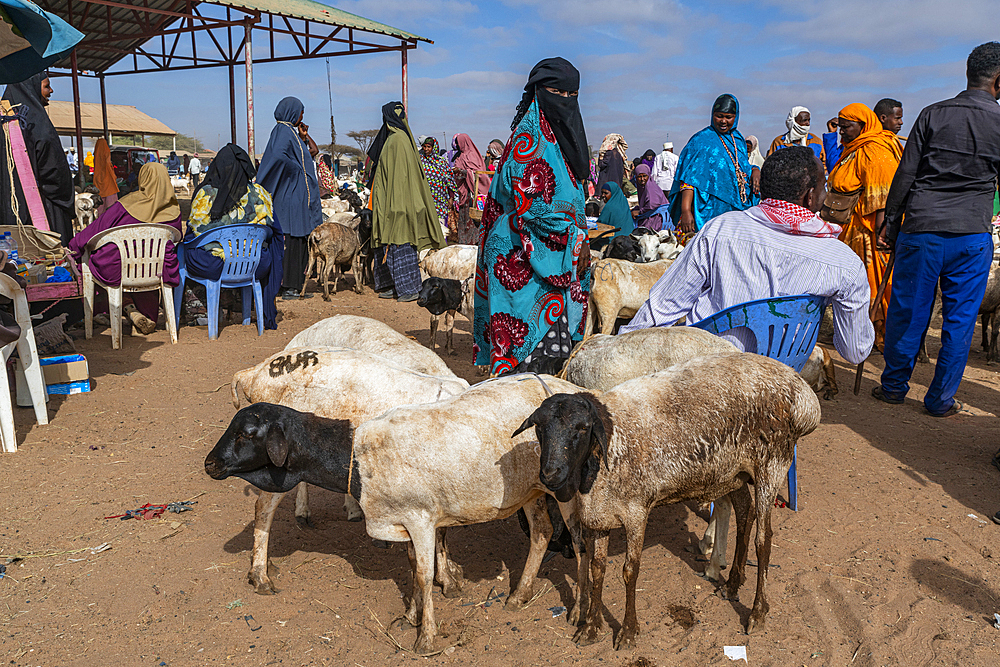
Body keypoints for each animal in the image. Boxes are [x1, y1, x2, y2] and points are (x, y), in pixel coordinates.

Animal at [516, 354, 820, 652]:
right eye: (540, 428)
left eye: (582, 428)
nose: (550, 473)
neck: (605, 451)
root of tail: (805, 397)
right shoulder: (598, 515)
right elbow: (597, 569)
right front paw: (591, 628)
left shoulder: (636, 511)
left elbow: (630, 571)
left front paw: (628, 632)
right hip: (734, 473)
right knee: (745, 514)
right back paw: (732, 585)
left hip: (772, 464)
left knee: (763, 539)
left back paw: (757, 613)